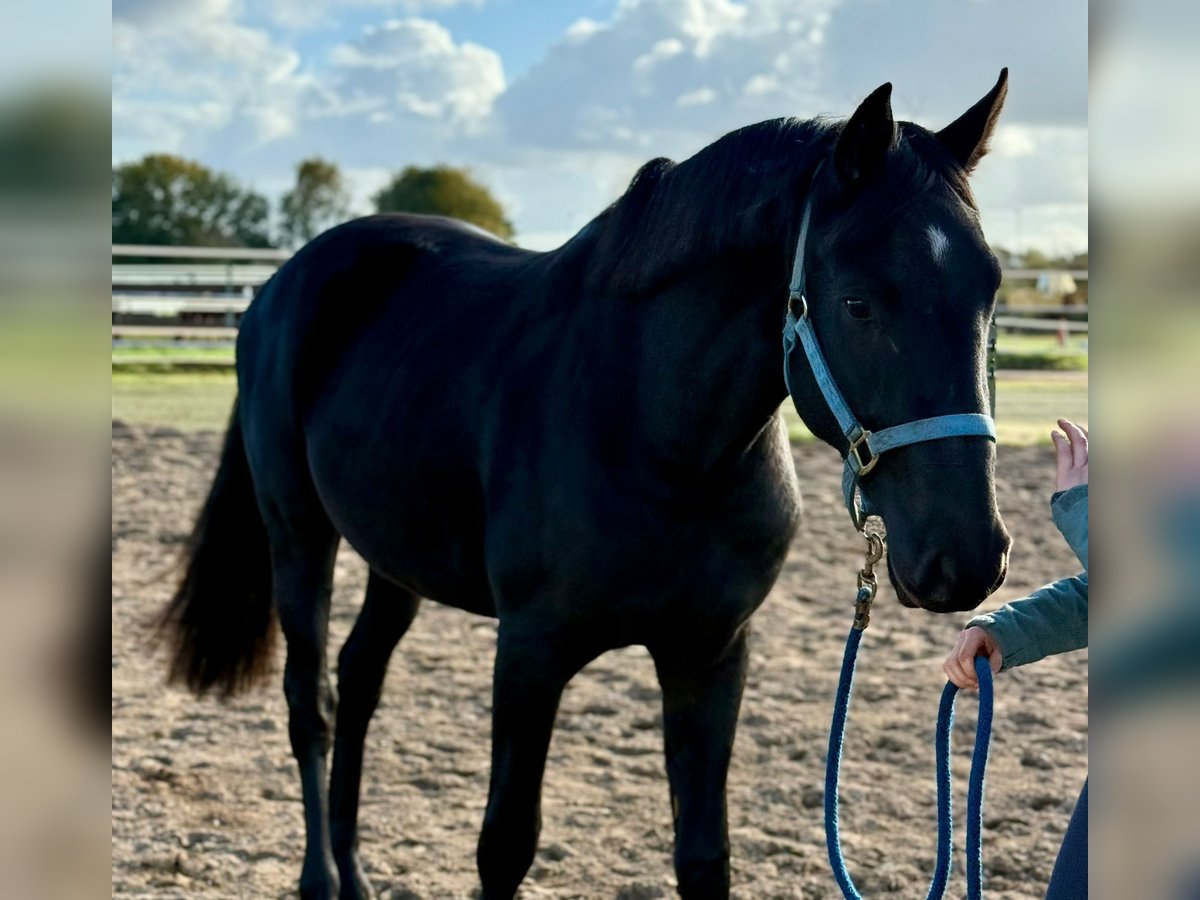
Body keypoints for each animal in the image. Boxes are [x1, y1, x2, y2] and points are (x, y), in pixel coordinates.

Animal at [160, 71, 1012, 900]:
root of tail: (280, 286)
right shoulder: (530, 653)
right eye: (858, 303)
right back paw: (319, 877)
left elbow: (703, 856)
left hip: (393, 557)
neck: (656, 438)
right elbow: (504, 845)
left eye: (991, 293)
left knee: (360, 677)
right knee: (312, 703)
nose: (968, 556)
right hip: (298, 534)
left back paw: (356, 872)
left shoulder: (711, 653)